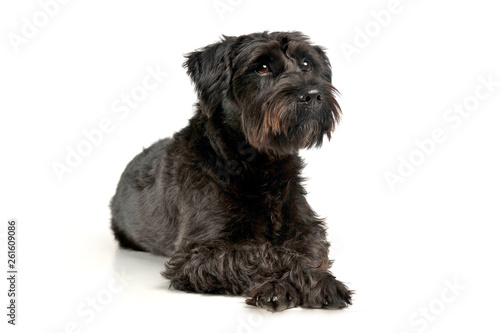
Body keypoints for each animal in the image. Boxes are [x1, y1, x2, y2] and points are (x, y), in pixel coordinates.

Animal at [110, 31, 352, 312]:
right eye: (262, 67)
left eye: (307, 64)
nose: (312, 95)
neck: (260, 165)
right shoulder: (196, 255)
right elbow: (264, 254)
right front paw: (277, 287)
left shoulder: (307, 229)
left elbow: (309, 252)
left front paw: (318, 279)